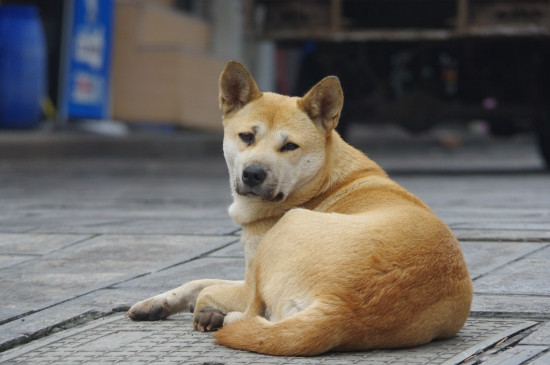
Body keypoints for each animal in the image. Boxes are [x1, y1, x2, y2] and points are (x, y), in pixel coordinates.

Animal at [128, 60, 474, 356]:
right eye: (246, 137)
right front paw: (155, 303)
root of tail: (339, 308)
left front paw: (204, 312)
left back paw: (221, 318)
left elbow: (205, 287)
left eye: (290, 146)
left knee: (251, 311)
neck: (322, 181)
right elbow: (195, 281)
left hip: (288, 229)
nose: (253, 174)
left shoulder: (250, 277)